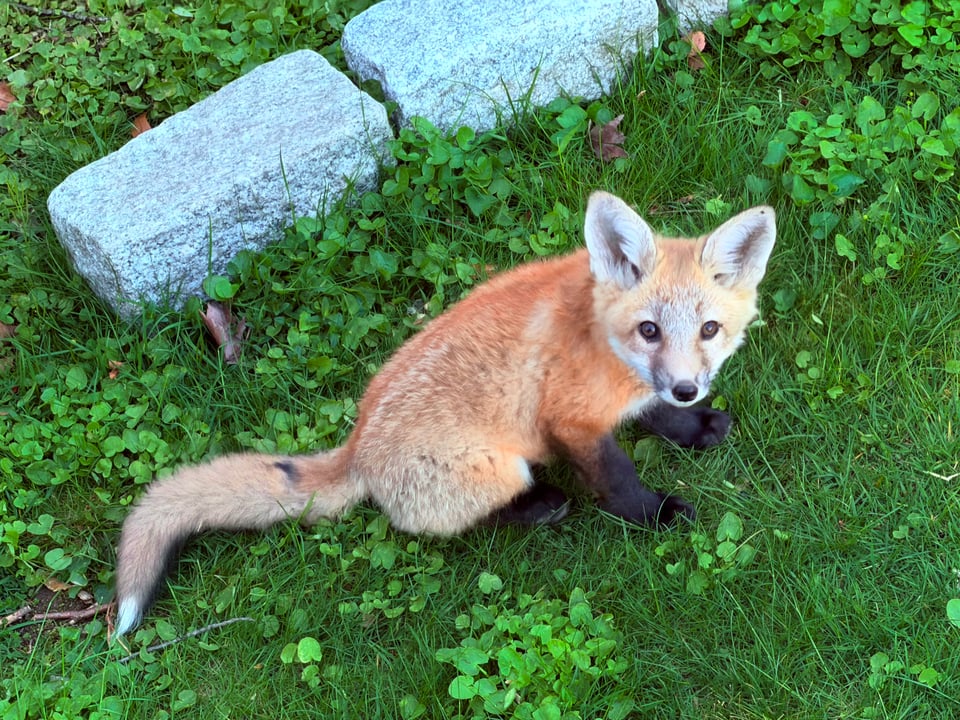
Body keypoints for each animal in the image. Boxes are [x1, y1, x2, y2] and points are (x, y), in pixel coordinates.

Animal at [113, 190, 775, 637]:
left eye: (709, 329)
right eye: (650, 330)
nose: (689, 387)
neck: (602, 341)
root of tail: (357, 448)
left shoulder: (631, 398)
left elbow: (656, 415)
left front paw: (695, 425)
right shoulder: (572, 423)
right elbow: (617, 481)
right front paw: (655, 515)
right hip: (499, 467)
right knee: (444, 522)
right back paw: (541, 507)